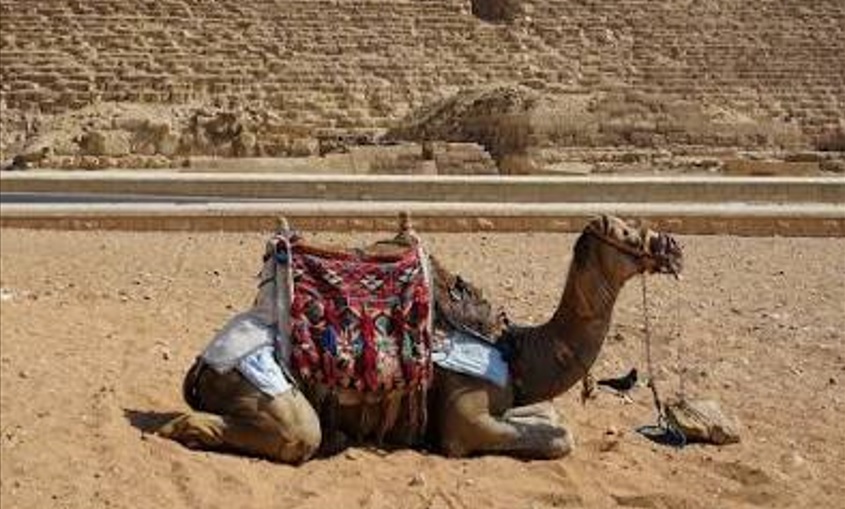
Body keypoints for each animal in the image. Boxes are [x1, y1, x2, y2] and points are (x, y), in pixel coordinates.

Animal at [158, 215, 682, 463]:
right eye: (625, 231)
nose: (672, 246)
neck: (514, 348)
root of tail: (197, 368)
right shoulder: (466, 420)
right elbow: (557, 439)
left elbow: (553, 419)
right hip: (256, 380)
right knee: (293, 433)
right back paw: (184, 430)